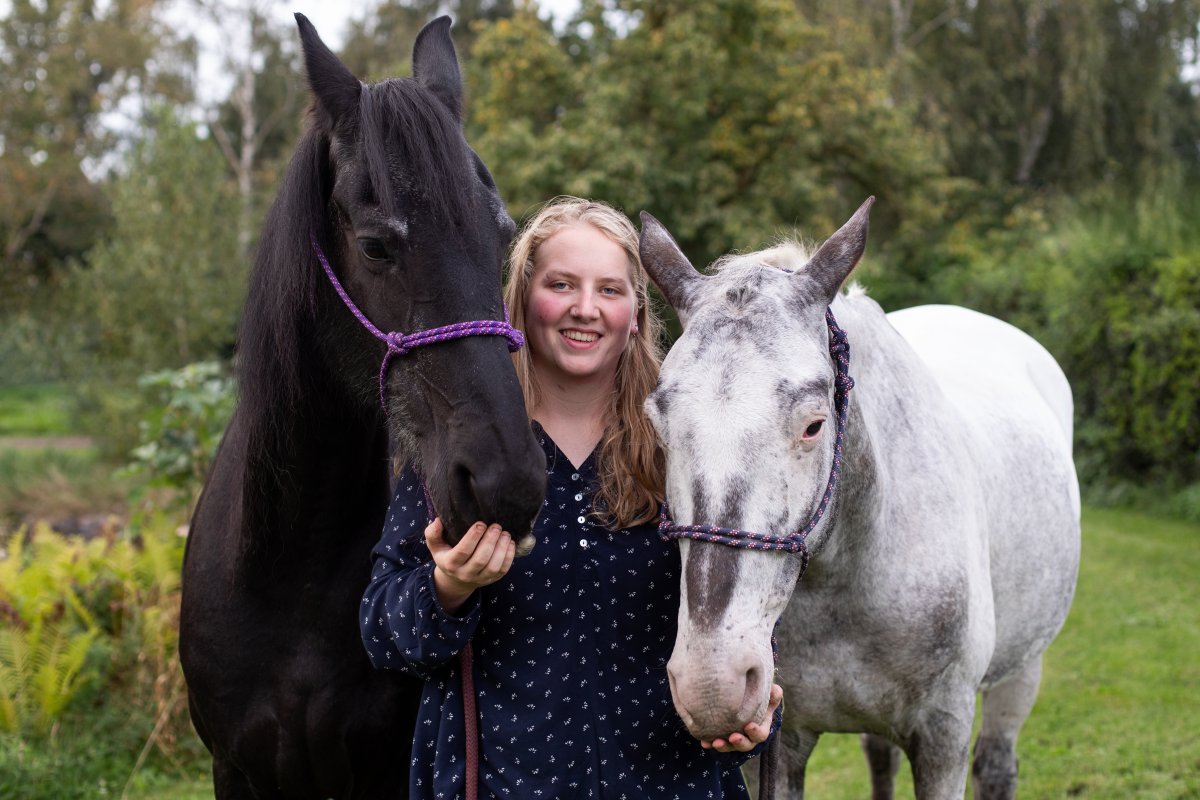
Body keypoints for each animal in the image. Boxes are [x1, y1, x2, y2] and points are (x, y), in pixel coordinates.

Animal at [637, 199, 1080, 799]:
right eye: (657, 426)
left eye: (813, 425)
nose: (713, 685)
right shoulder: (780, 747)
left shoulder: (943, 736)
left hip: (1022, 668)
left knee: (997, 765)